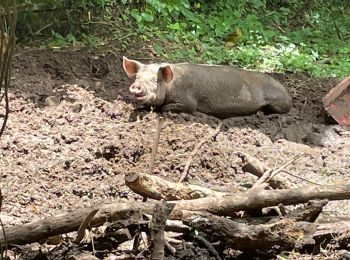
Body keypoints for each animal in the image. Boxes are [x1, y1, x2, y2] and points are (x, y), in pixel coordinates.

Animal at [121, 57, 292, 119]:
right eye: (137, 77)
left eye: (155, 80)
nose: (137, 86)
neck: (171, 86)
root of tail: (288, 94)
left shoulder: (189, 102)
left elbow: (166, 108)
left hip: (277, 101)